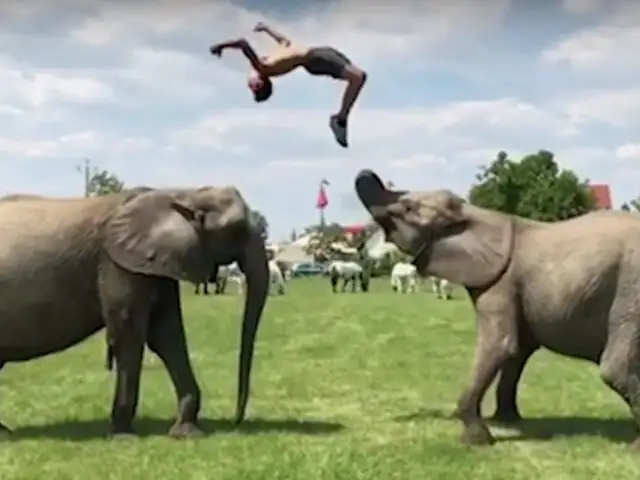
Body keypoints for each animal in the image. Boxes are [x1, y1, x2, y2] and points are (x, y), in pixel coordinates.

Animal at [0, 185, 268, 438]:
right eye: (238, 230)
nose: (236, 421)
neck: (183, 193)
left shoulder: (155, 265)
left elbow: (166, 336)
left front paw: (186, 432)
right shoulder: (117, 264)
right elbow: (128, 334)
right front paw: (122, 435)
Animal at [356, 170, 640, 450]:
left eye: (407, 209)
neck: (475, 214)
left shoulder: (501, 283)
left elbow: (500, 344)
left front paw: (477, 441)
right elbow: (518, 351)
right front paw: (506, 421)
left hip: (631, 288)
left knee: (615, 369)